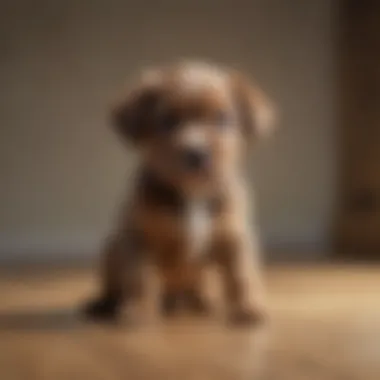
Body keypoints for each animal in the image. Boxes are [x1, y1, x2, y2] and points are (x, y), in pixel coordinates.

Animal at [84, 60, 274, 326]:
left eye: (222, 119)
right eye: (167, 120)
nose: (196, 153)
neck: (192, 193)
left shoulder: (234, 237)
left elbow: (242, 276)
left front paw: (248, 307)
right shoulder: (138, 238)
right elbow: (139, 278)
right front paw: (138, 310)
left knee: (194, 289)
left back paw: (200, 301)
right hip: (112, 249)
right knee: (113, 288)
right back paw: (104, 305)